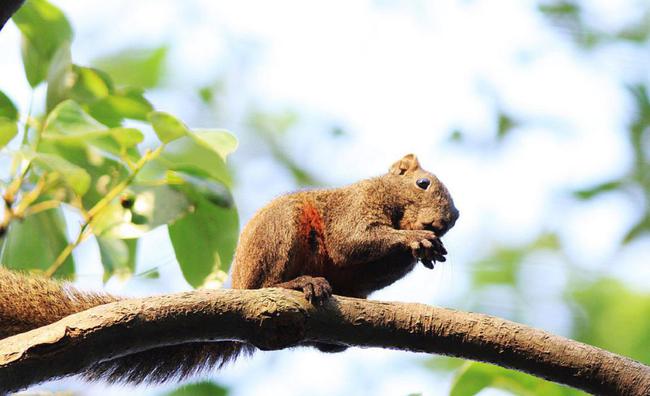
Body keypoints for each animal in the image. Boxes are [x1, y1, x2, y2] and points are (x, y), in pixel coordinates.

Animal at [0, 153, 458, 386]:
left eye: (454, 218)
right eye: (423, 184)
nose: (443, 221)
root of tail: (240, 288)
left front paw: (427, 246)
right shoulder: (355, 207)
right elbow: (353, 241)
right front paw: (413, 240)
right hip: (281, 230)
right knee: (273, 280)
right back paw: (299, 283)